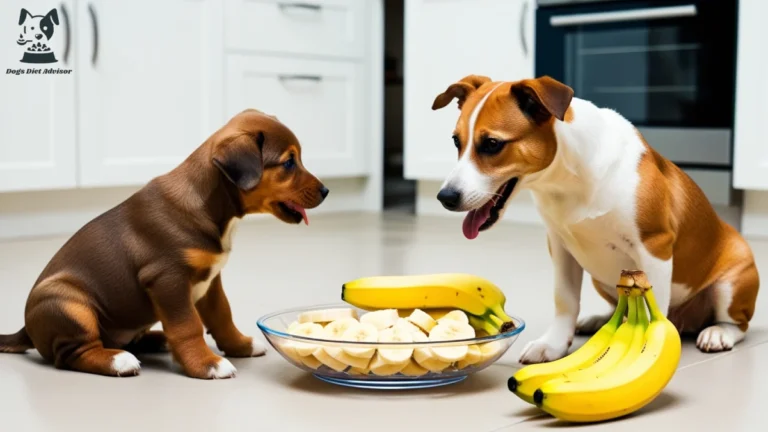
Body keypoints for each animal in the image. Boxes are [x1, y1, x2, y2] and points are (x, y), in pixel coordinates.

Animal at [0, 109, 328, 378]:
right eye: (288, 162)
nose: (326, 191)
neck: (209, 203)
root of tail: (26, 329)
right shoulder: (167, 279)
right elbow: (187, 326)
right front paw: (207, 364)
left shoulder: (211, 280)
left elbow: (222, 314)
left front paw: (240, 345)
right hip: (68, 303)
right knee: (72, 354)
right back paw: (119, 360)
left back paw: (156, 339)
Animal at [436, 75, 760, 364]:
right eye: (455, 141)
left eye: (492, 144)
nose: (445, 197)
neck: (567, 180)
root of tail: (686, 321)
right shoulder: (561, 248)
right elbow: (565, 300)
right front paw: (553, 345)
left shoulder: (654, 247)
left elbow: (652, 307)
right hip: (601, 278)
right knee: (621, 307)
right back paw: (598, 321)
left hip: (730, 285)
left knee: (737, 324)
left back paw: (718, 333)